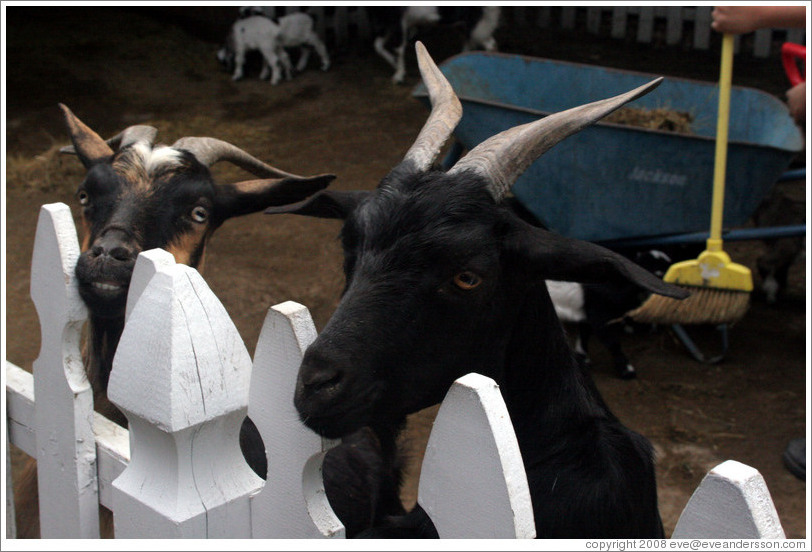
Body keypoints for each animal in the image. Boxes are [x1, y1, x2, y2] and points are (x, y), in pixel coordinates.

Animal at [368, 6, 500, 83]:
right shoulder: (388, 21)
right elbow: (377, 46)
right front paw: (395, 65)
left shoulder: (397, 19)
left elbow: (398, 49)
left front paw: (399, 75)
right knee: (478, 43)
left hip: (472, 21)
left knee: (486, 43)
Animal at [546, 249, 674, 379]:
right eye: (659, 273)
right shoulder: (600, 312)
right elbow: (612, 341)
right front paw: (627, 371)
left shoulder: (588, 312)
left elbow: (585, 332)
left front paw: (583, 356)